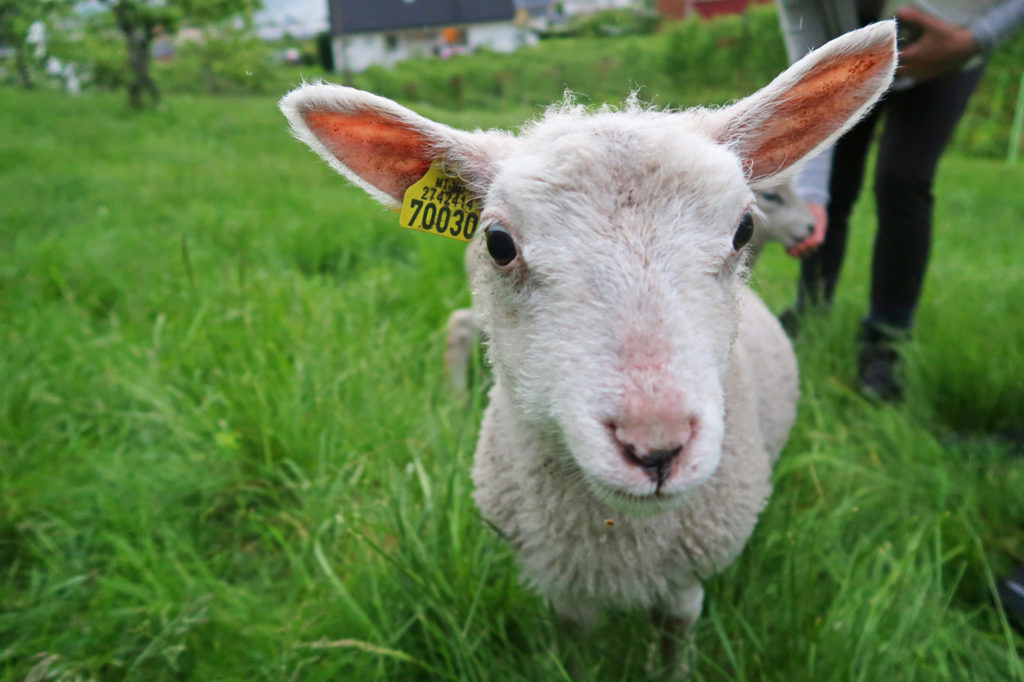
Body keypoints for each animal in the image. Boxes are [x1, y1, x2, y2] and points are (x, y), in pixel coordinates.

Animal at [280, 21, 897, 663]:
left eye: (743, 229)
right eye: (498, 243)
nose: (656, 446)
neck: (616, 541)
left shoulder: (683, 582)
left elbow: (672, 641)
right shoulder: (560, 586)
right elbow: (572, 647)